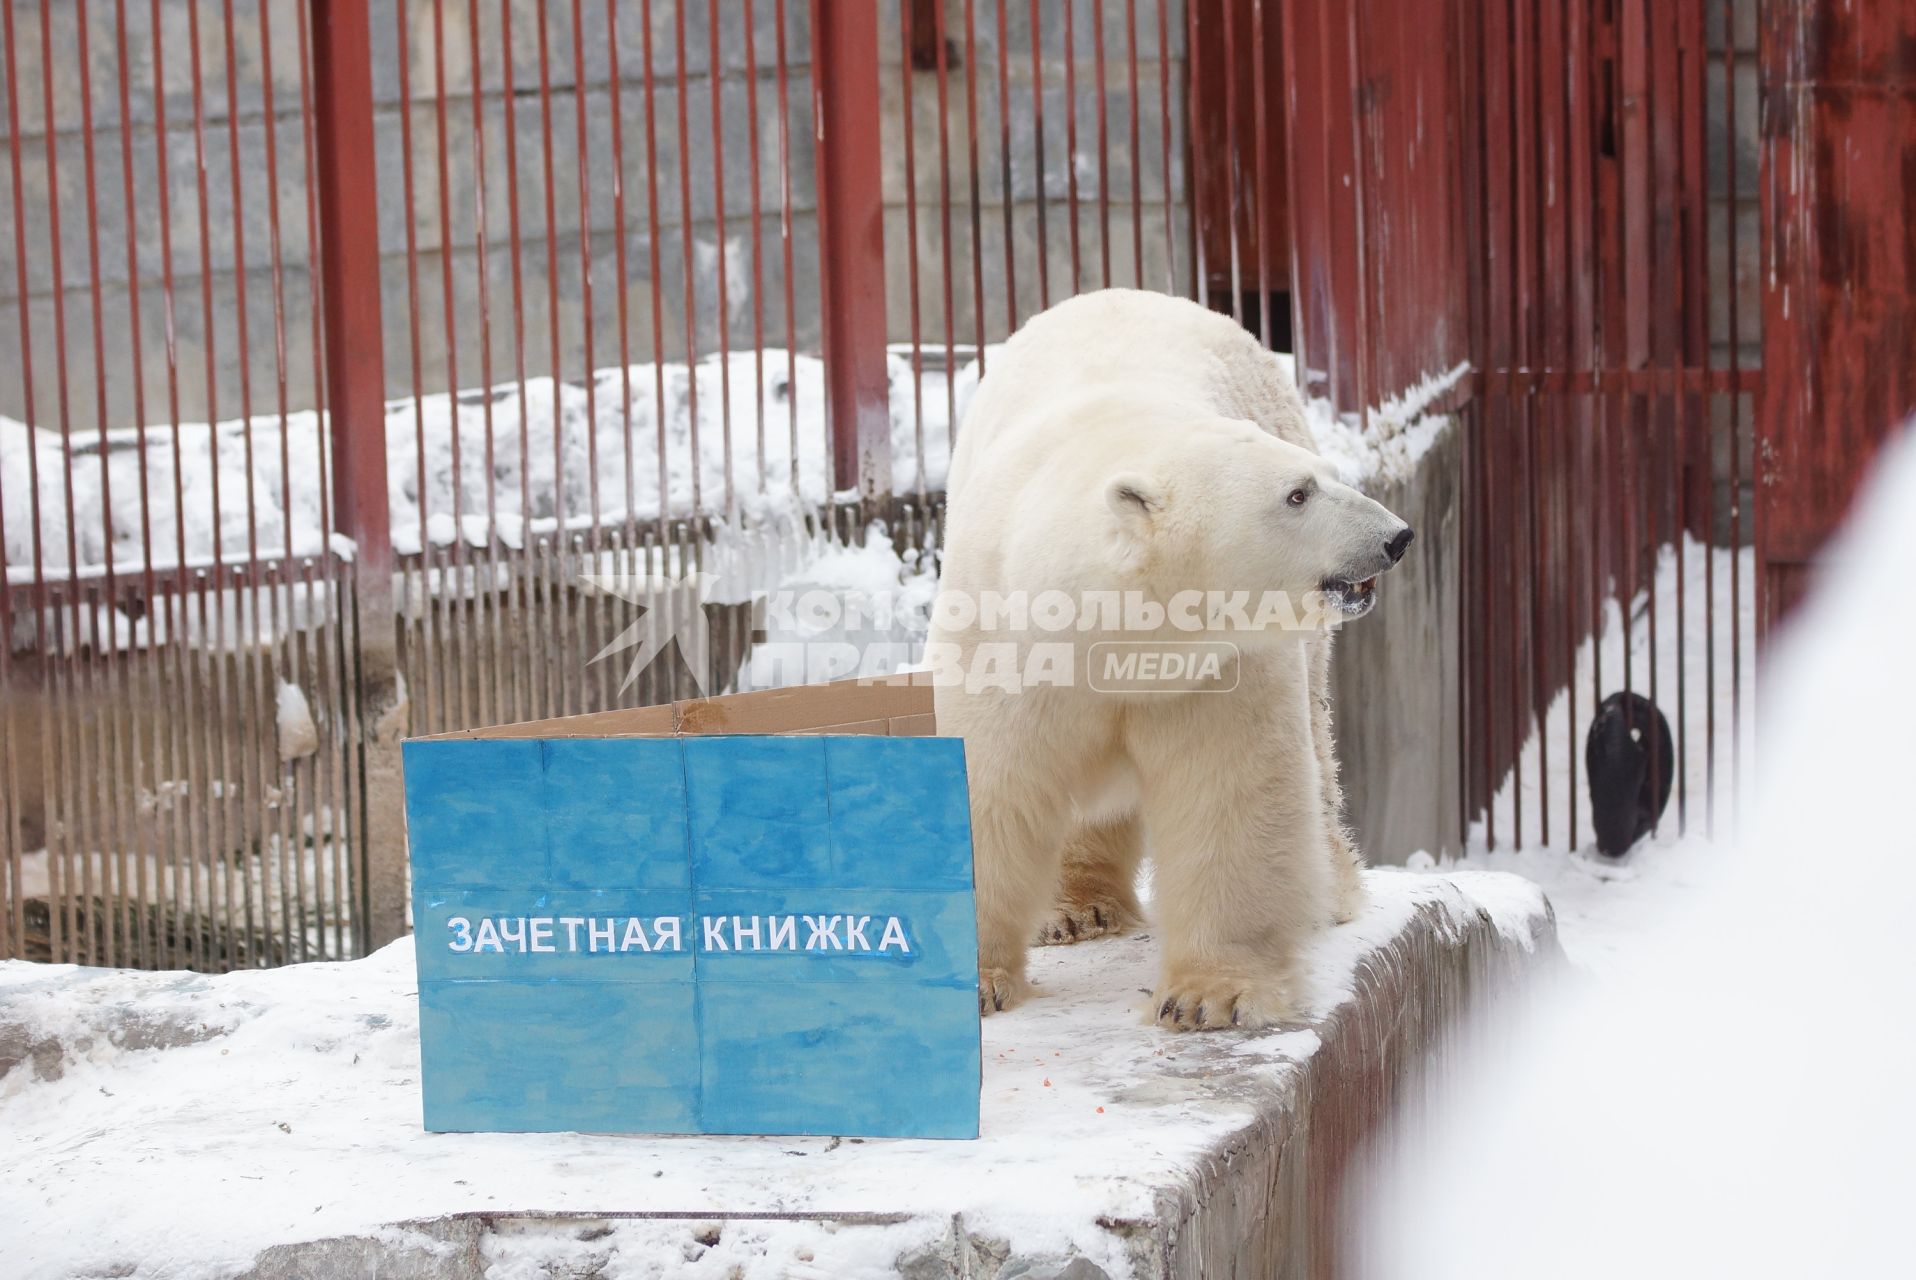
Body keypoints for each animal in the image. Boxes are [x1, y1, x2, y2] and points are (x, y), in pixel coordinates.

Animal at [927, 289, 1410, 1027]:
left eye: (1325, 478)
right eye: (1297, 494)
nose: (1395, 537)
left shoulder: (1219, 661)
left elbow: (1230, 788)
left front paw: (1214, 996)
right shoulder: (1002, 646)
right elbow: (994, 788)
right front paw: (978, 983)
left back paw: (1332, 891)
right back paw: (1077, 911)